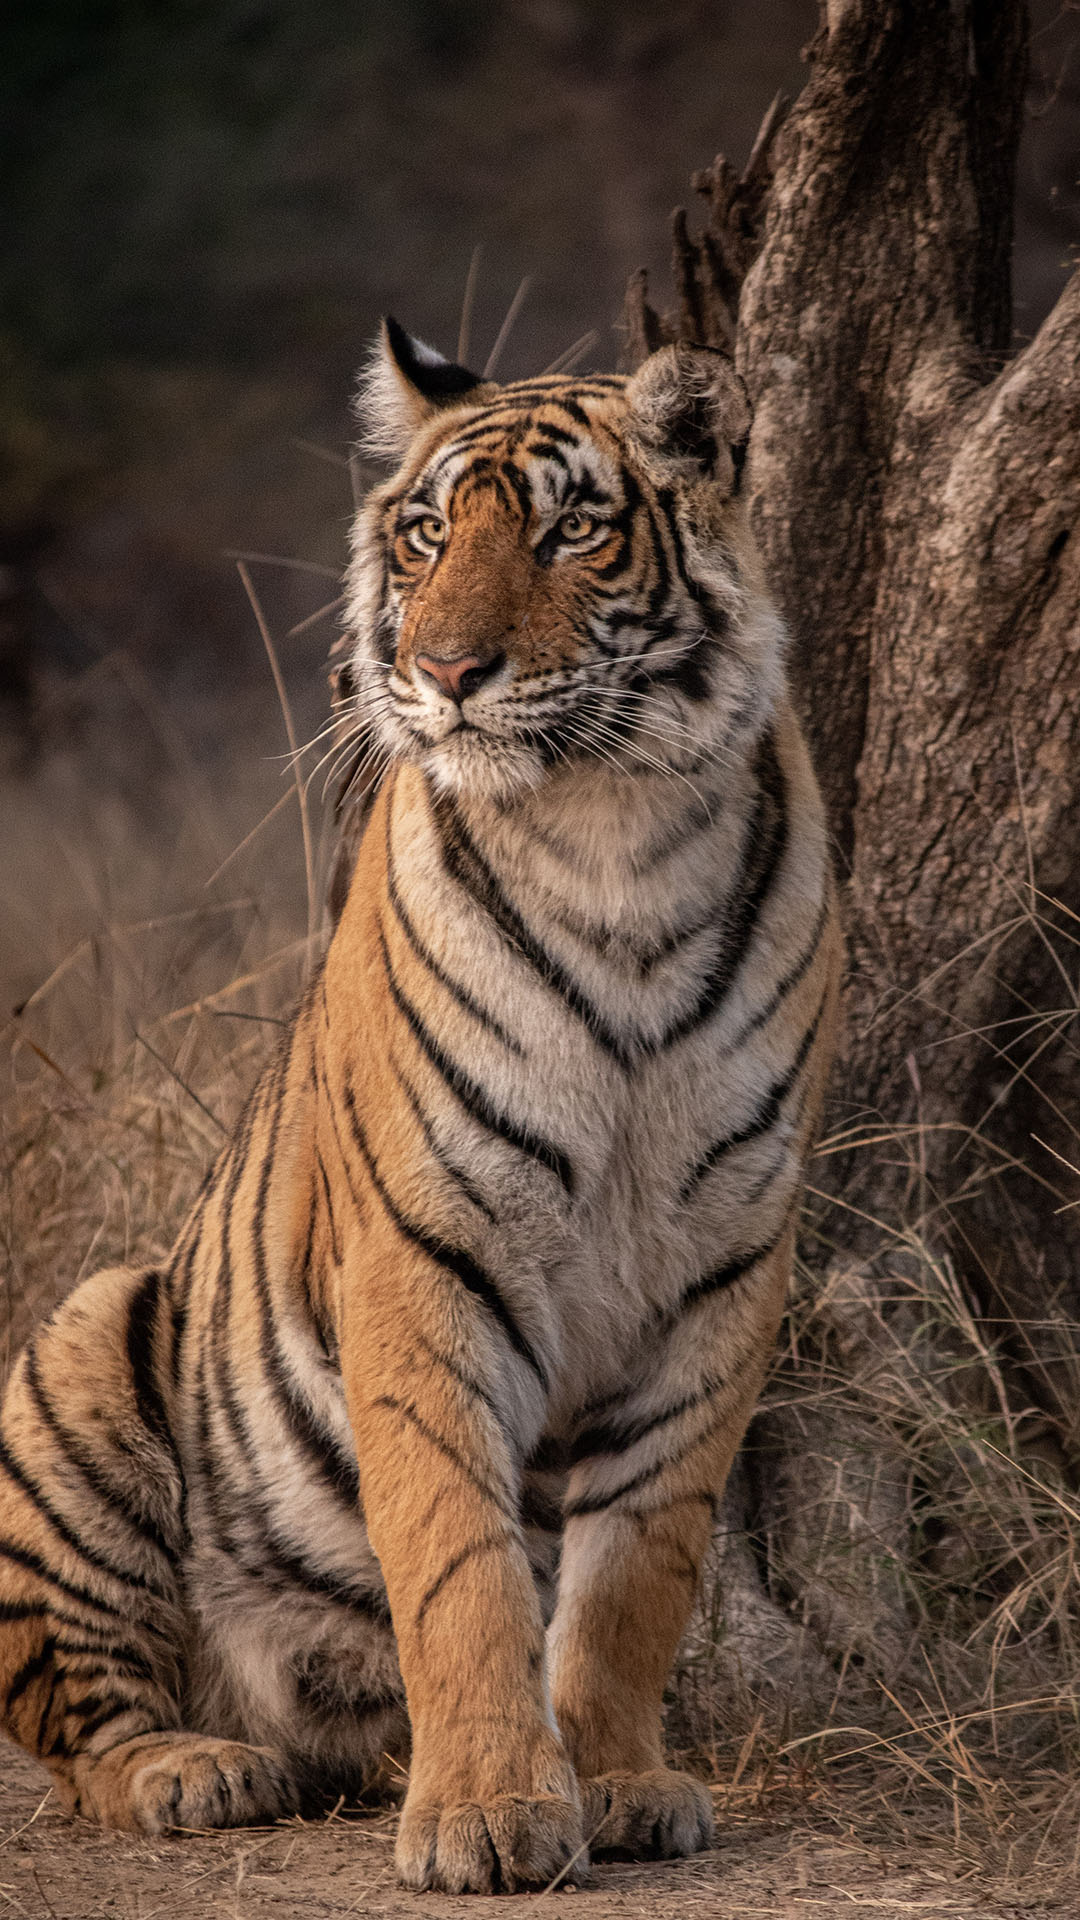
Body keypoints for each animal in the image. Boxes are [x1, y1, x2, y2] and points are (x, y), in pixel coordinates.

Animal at [0, 319, 840, 1895]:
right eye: (428, 534)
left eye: (573, 531)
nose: (444, 668)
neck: (616, 838)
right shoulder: (427, 1248)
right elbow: (459, 1557)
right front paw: (491, 1815)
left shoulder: (723, 1266)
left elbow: (638, 1567)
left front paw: (617, 1781)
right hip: (79, 1350)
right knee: (74, 1724)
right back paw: (197, 1770)